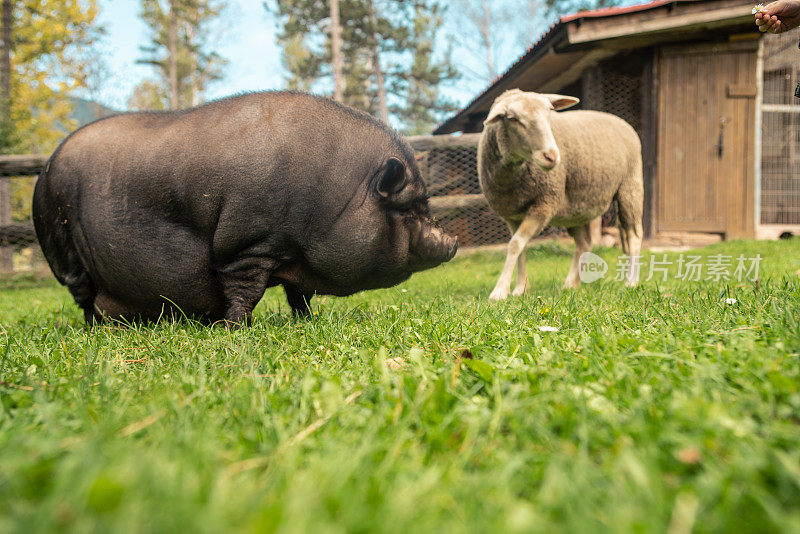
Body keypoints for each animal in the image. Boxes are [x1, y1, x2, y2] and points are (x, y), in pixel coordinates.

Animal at [32, 92, 456, 326]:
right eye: (408, 209)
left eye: (424, 204)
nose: (451, 241)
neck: (336, 198)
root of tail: (44, 168)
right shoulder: (249, 243)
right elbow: (245, 291)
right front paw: (233, 329)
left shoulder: (293, 255)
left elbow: (298, 295)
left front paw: (306, 322)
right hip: (63, 250)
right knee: (83, 296)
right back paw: (97, 330)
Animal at [476, 88, 644, 300]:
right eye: (512, 118)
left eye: (550, 112)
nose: (552, 156)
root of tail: (620, 120)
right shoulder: (512, 215)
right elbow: (520, 247)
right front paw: (520, 288)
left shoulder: (545, 204)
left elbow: (515, 244)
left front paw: (500, 291)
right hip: (577, 208)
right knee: (584, 243)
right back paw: (571, 284)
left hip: (630, 186)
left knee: (633, 235)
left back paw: (631, 281)